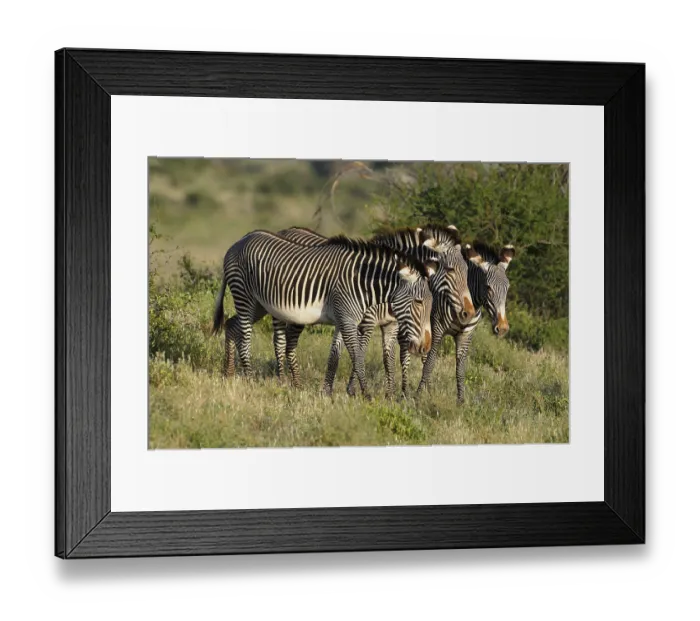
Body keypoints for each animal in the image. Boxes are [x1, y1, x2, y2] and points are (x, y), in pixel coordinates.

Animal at [212, 230, 435, 398]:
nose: (426, 346)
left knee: (231, 325)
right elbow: (358, 356)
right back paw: (249, 378)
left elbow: (335, 357)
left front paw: (327, 392)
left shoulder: (343, 320)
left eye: (431, 303)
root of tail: (240, 240)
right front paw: (365, 394)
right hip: (245, 295)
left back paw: (229, 373)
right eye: (418, 302)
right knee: (245, 336)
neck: (363, 282)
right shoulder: (351, 321)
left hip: (259, 305)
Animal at [417, 242, 516, 403]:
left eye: (507, 288)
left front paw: (461, 402)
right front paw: (417, 397)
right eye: (488, 287)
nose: (502, 328)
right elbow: (430, 364)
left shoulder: (466, 335)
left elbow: (461, 370)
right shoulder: (437, 328)